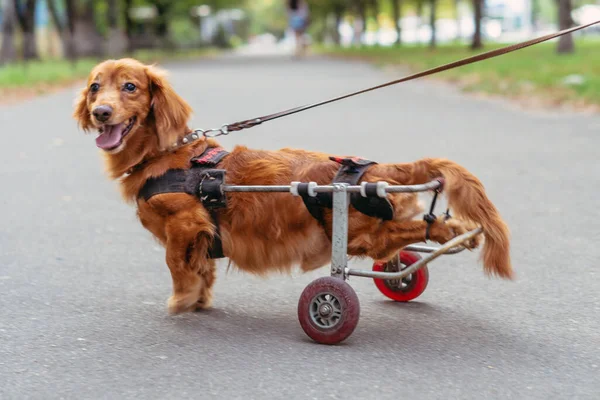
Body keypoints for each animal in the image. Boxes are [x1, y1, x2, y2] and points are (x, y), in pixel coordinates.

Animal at [71, 58, 510, 316]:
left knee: (408, 231)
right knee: (400, 245)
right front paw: (198, 299)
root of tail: (375, 167)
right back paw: (443, 242)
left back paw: (453, 230)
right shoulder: (205, 234)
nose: (101, 112)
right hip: (363, 234)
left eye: (130, 87)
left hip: (357, 232)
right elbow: (202, 269)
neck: (164, 154)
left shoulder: (185, 223)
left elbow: (175, 264)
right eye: (95, 86)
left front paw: (180, 300)